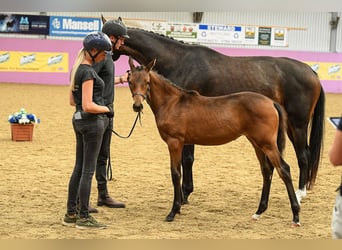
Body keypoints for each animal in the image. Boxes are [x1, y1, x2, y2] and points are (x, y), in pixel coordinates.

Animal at [105, 15, 326, 204]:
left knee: (303, 155)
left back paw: (299, 194)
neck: (179, 61)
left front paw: (185, 194)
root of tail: (311, 72)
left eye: (105, 34)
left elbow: (187, 159)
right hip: (288, 125)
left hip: (298, 123)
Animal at [126, 55, 300, 226]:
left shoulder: (174, 143)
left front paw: (173, 212)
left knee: (284, 169)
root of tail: (271, 102)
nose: (137, 106)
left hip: (268, 144)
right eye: (130, 81)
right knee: (266, 171)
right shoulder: (181, 144)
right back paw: (258, 212)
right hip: (257, 143)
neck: (172, 103)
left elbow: (175, 174)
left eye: (147, 82)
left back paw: (296, 215)